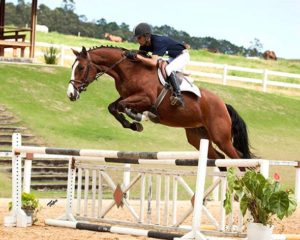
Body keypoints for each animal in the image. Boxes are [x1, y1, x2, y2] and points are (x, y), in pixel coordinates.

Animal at [67, 45, 254, 160]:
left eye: (81, 68)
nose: (70, 94)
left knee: (238, 158)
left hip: (221, 137)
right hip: (198, 136)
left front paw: (139, 119)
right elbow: (113, 107)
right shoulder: (127, 96)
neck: (129, 70)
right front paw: (133, 124)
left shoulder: (145, 98)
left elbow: (122, 107)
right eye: (72, 67)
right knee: (220, 158)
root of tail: (224, 105)